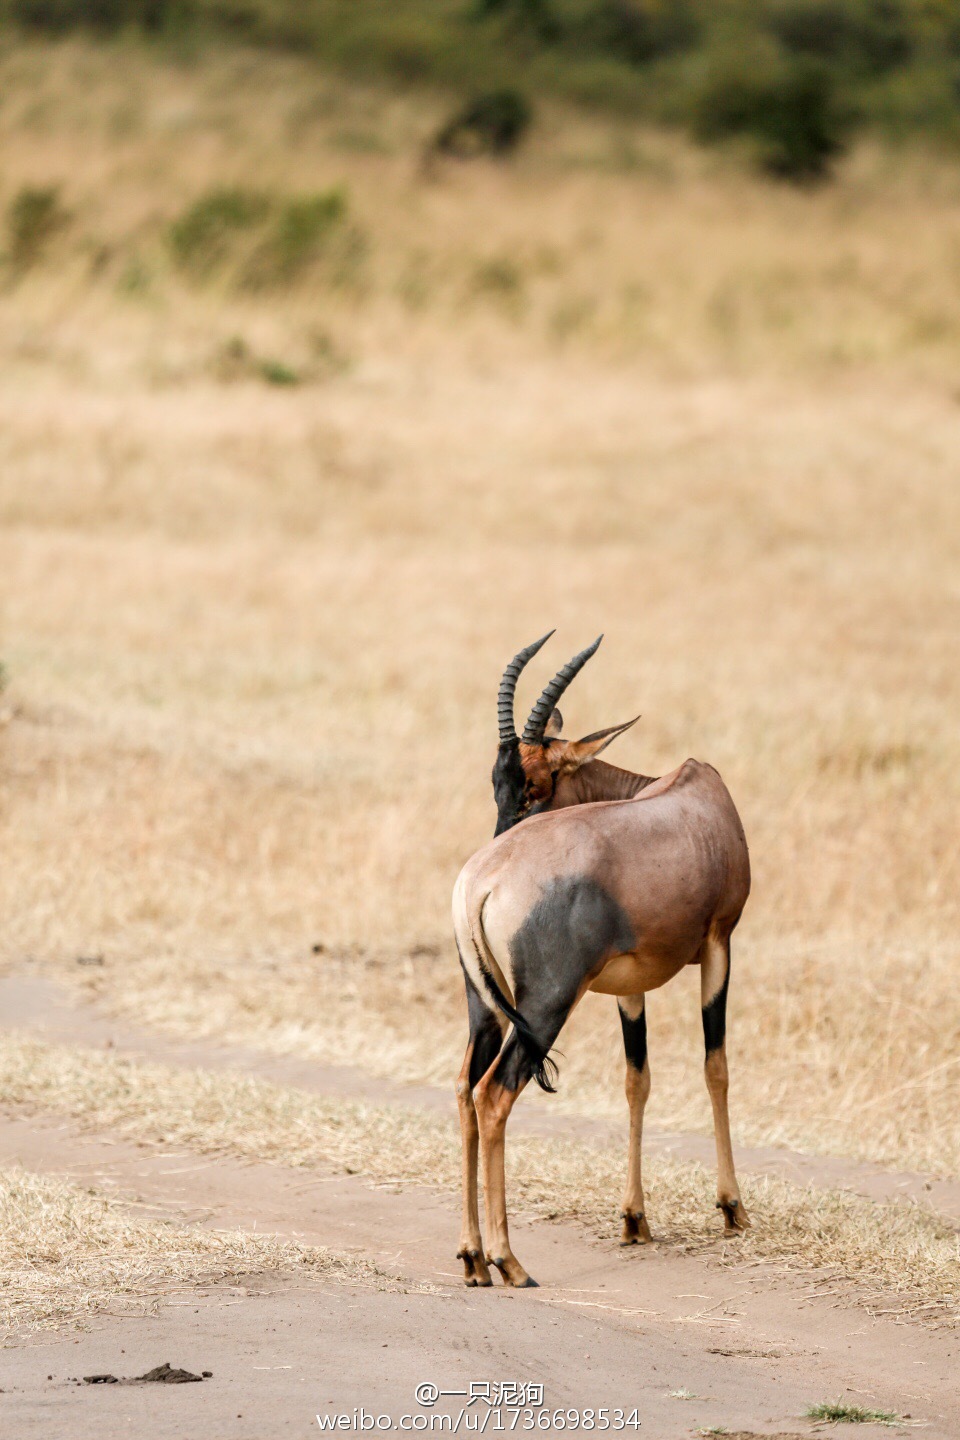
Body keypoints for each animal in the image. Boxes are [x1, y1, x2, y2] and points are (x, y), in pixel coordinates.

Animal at [454, 636, 754, 1290]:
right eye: (501, 783)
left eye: (533, 783)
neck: (692, 793)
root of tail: (481, 882)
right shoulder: (720, 945)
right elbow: (716, 1066)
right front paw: (733, 1209)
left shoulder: (628, 983)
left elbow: (636, 1080)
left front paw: (634, 1220)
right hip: (546, 1003)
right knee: (494, 1095)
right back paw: (510, 1262)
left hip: (486, 1007)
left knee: (464, 1090)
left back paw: (471, 1258)